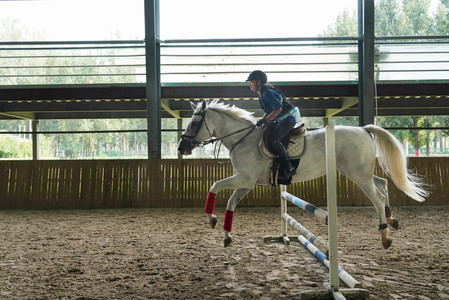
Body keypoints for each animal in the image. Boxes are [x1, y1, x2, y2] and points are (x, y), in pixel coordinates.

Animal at [178, 100, 428, 248]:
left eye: (194, 122)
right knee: (383, 185)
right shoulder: (245, 183)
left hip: (359, 175)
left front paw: (211, 219)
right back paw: (392, 219)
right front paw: (225, 235)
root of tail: (364, 130)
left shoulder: (244, 179)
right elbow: (230, 202)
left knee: (376, 197)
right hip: (358, 172)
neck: (243, 139)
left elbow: (214, 186)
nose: (181, 148)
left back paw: (385, 236)